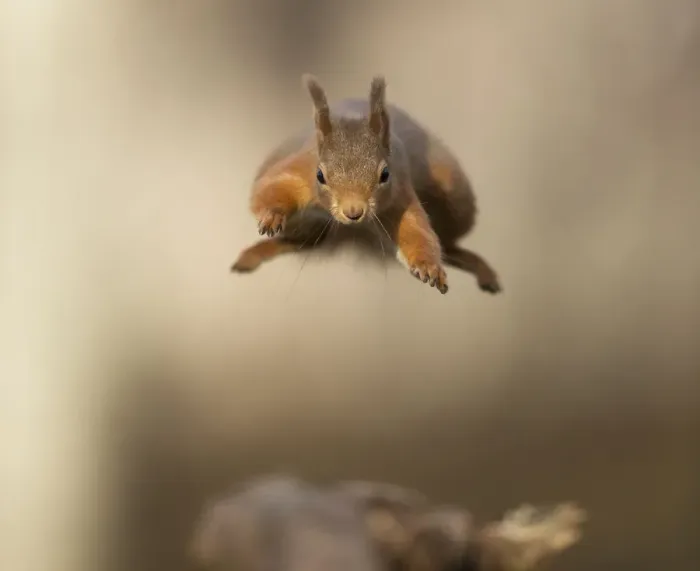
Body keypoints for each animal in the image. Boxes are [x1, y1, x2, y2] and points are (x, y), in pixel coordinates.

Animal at [231, 75, 502, 295]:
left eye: (385, 174)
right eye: (320, 175)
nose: (354, 212)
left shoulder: (399, 192)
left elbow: (415, 230)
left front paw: (429, 266)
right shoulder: (300, 170)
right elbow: (271, 188)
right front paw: (272, 215)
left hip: (453, 194)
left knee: (449, 242)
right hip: (302, 218)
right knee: (301, 241)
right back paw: (254, 254)